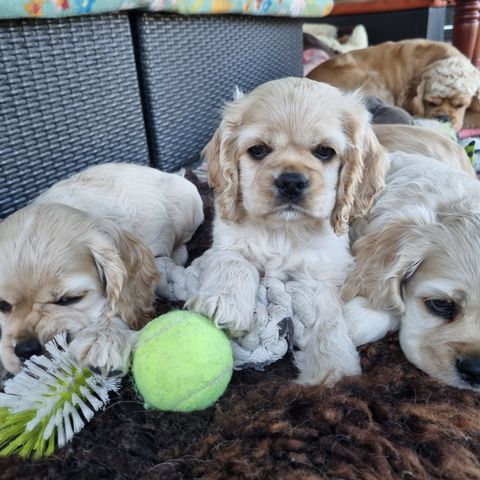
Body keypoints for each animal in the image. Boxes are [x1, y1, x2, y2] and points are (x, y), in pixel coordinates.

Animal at [186, 79, 388, 386]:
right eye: (258, 150)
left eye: (325, 152)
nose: (291, 181)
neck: (284, 230)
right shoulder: (227, 241)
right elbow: (234, 263)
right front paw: (223, 303)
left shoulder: (324, 272)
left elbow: (328, 318)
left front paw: (333, 371)